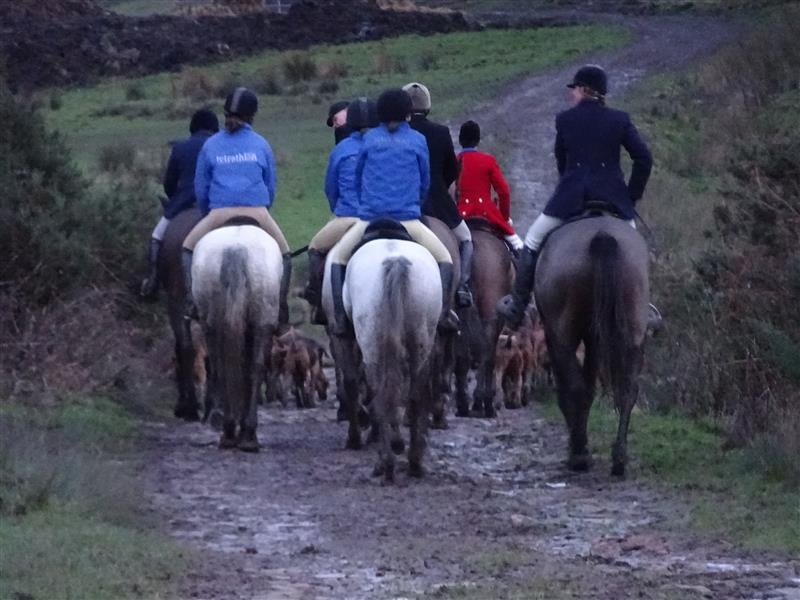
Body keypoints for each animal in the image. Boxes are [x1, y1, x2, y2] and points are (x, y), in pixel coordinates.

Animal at [192, 224, 283, 451]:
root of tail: (236, 248)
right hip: (261, 324)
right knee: (254, 370)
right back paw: (247, 435)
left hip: (213, 325)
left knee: (221, 368)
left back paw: (229, 430)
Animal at [322, 236, 441, 482]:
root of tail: (395, 261)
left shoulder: (341, 339)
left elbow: (352, 384)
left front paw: (356, 436)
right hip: (421, 342)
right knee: (414, 394)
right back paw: (413, 462)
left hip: (372, 343)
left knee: (381, 394)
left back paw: (385, 462)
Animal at [534, 216, 649, 477]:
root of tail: (603, 236)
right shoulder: (594, 338)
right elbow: (590, 388)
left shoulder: (555, 336)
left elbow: (572, 388)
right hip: (633, 330)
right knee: (627, 389)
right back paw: (619, 459)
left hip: (563, 333)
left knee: (574, 387)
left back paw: (578, 456)